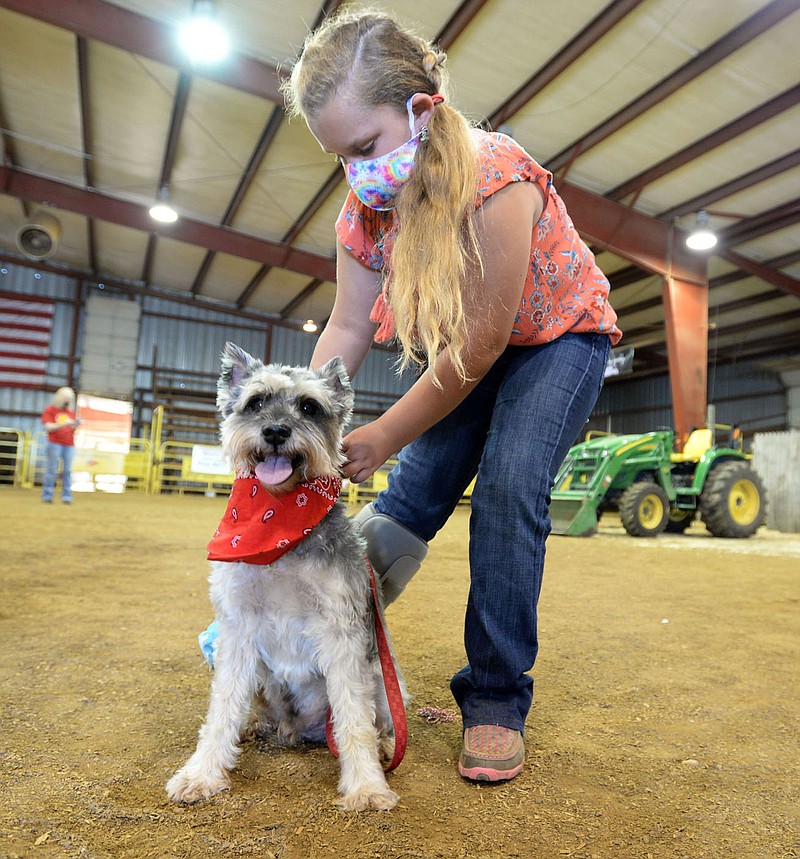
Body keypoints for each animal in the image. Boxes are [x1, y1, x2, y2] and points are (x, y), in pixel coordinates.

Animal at [167, 340, 406, 812]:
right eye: (256, 402)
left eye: (309, 407)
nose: (276, 431)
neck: (277, 519)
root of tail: (300, 732)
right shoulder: (238, 629)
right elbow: (222, 707)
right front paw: (201, 773)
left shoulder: (341, 633)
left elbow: (354, 719)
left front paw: (367, 787)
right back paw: (253, 726)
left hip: (385, 679)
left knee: (378, 721)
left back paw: (386, 747)